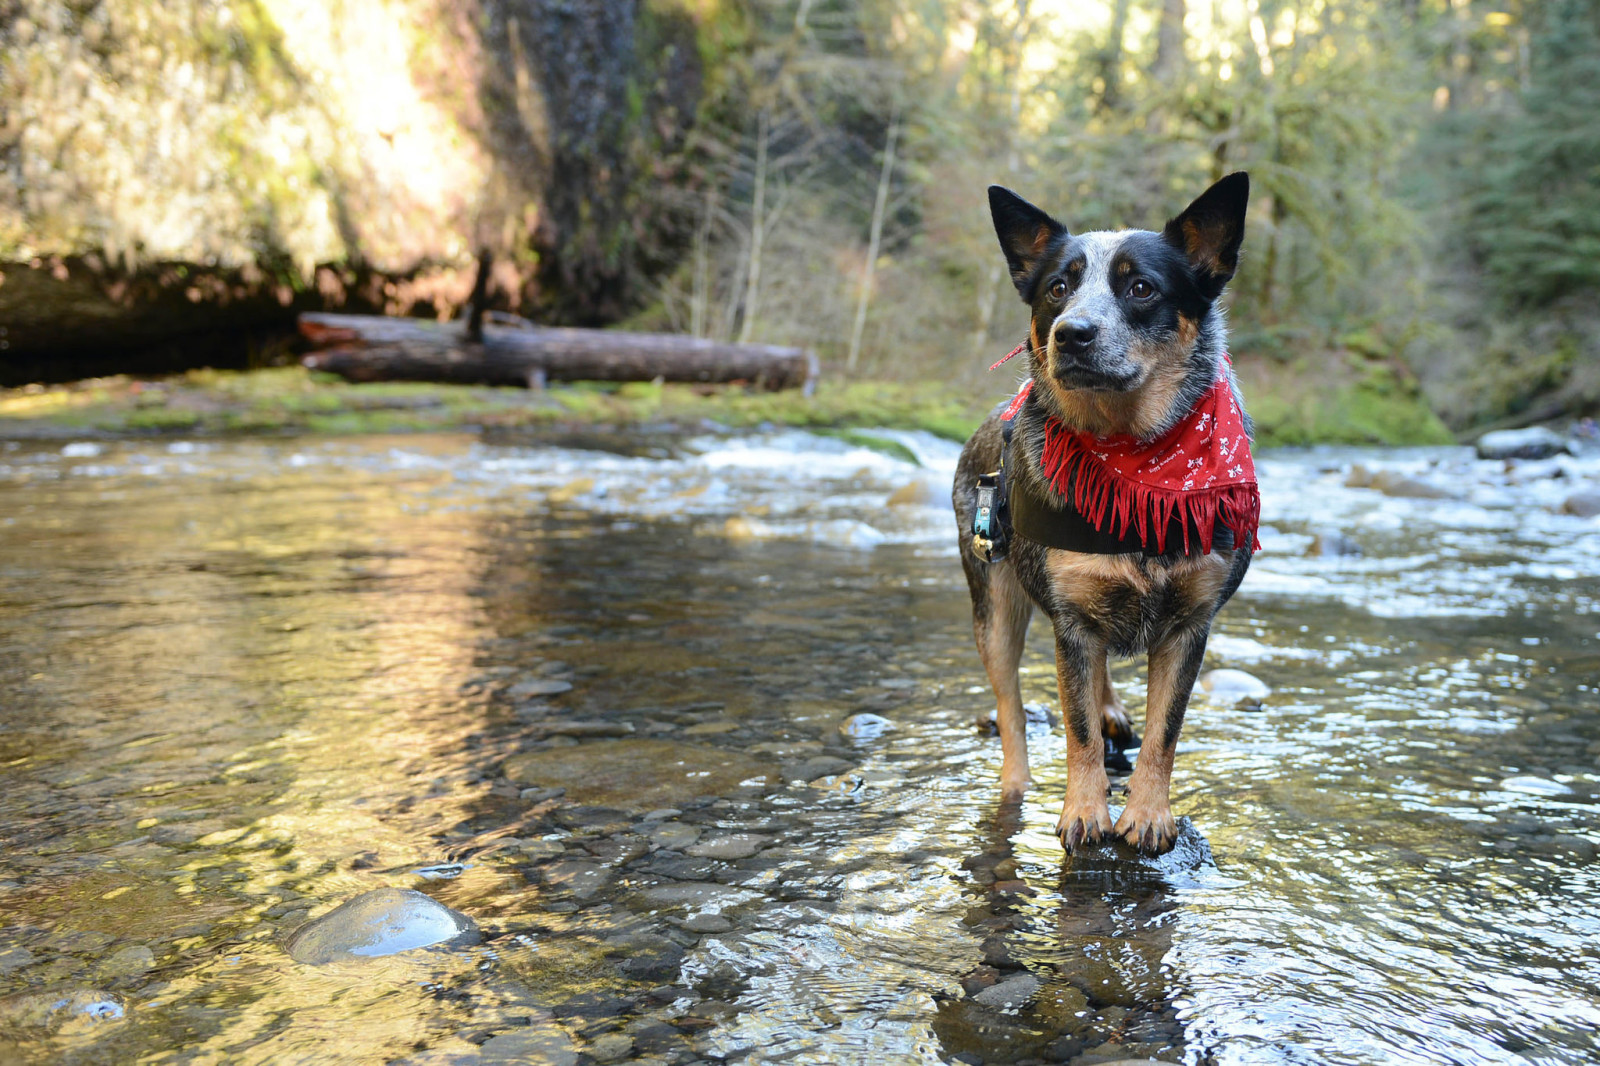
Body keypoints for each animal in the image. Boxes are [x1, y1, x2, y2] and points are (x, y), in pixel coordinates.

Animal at [953, 174, 1254, 857]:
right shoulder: (1071, 620)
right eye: (1057, 288)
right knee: (1012, 705)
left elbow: (1164, 731)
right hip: (995, 607)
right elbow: (1078, 729)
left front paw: (1147, 814)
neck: (1137, 469)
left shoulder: (1191, 625)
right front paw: (1085, 811)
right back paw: (1016, 787)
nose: (1072, 331)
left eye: (1141, 287)